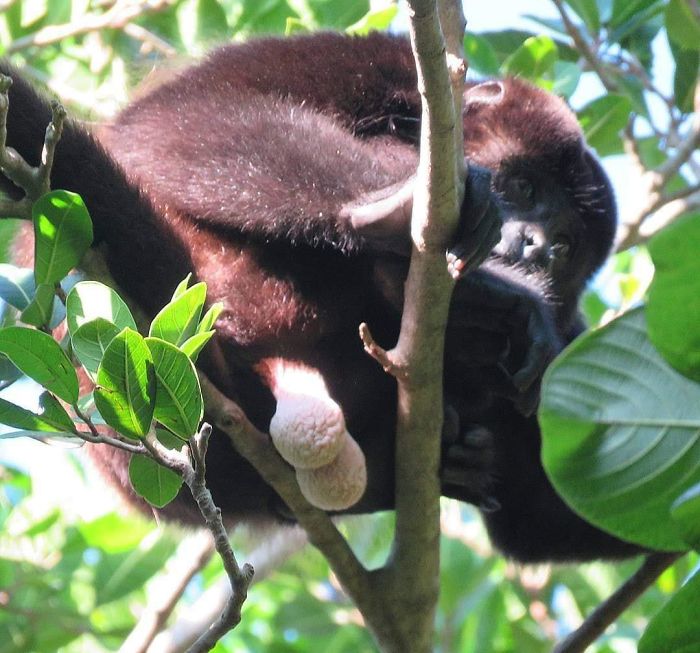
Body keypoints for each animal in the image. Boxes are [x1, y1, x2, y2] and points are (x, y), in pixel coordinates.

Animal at [0, 31, 637, 560]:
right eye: (524, 186)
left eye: (565, 246)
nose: (535, 247)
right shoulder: (378, 61)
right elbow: (172, 120)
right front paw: (390, 206)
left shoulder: (562, 347)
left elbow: (537, 518)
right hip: (225, 280)